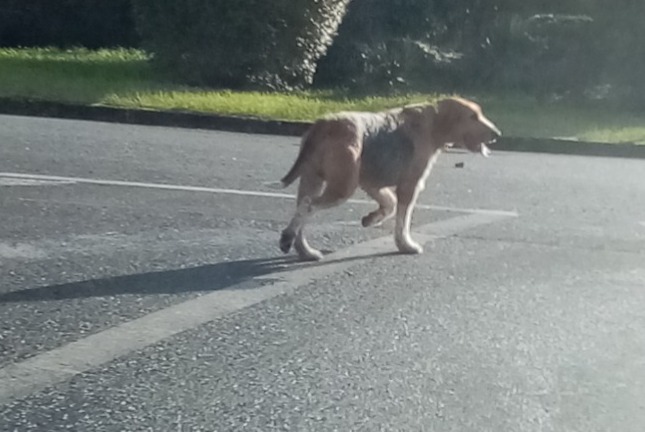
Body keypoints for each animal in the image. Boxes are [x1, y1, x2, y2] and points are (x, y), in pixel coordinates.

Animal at [274, 97, 500, 260]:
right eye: (472, 117)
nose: (497, 134)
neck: (434, 123)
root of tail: (324, 124)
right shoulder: (410, 186)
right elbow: (402, 219)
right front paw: (406, 245)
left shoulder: (372, 183)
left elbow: (389, 204)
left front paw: (371, 218)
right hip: (341, 188)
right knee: (307, 206)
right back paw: (288, 238)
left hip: (312, 179)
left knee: (302, 210)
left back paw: (305, 250)